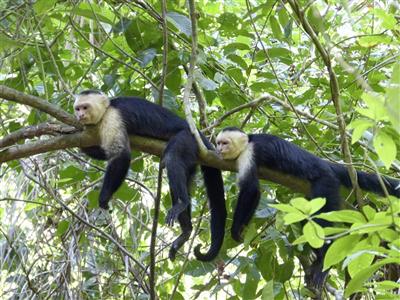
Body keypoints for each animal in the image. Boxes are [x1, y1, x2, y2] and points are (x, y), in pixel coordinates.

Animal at [73, 89, 227, 260]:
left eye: (85, 107)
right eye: (77, 108)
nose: (79, 115)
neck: (107, 108)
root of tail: (199, 134)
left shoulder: (111, 117)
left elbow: (121, 155)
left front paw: (104, 197)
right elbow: (104, 152)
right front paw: (74, 138)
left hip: (188, 138)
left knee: (172, 159)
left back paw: (182, 202)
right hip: (192, 157)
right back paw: (186, 231)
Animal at [214, 127, 398, 290]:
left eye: (225, 143)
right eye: (218, 143)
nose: (218, 149)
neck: (248, 142)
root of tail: (327, 165)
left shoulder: (249, 154)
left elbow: (250, 189)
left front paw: (235, 229)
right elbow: (255, 193)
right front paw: (242, 228)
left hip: (327, 183)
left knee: (321, 220)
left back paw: (323, 261)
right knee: (307, 221)